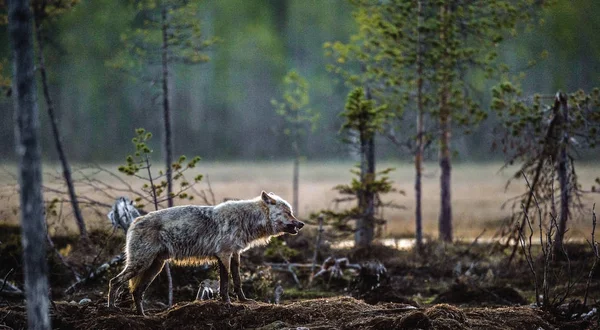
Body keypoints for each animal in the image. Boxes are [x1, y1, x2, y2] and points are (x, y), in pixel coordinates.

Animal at [106, 192, 304, 316]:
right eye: (288, 213)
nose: (301, 224)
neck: (246, 220)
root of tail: (134, 222)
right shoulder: (223, 255)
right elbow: (225, 283)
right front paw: (227, 303)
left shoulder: (235, 254)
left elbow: (237, 281)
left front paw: (243, 300)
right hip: (141, 264)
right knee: (114, 282)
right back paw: (111, 308)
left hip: (154, 267)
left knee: (136, 291)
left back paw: (143, 316)